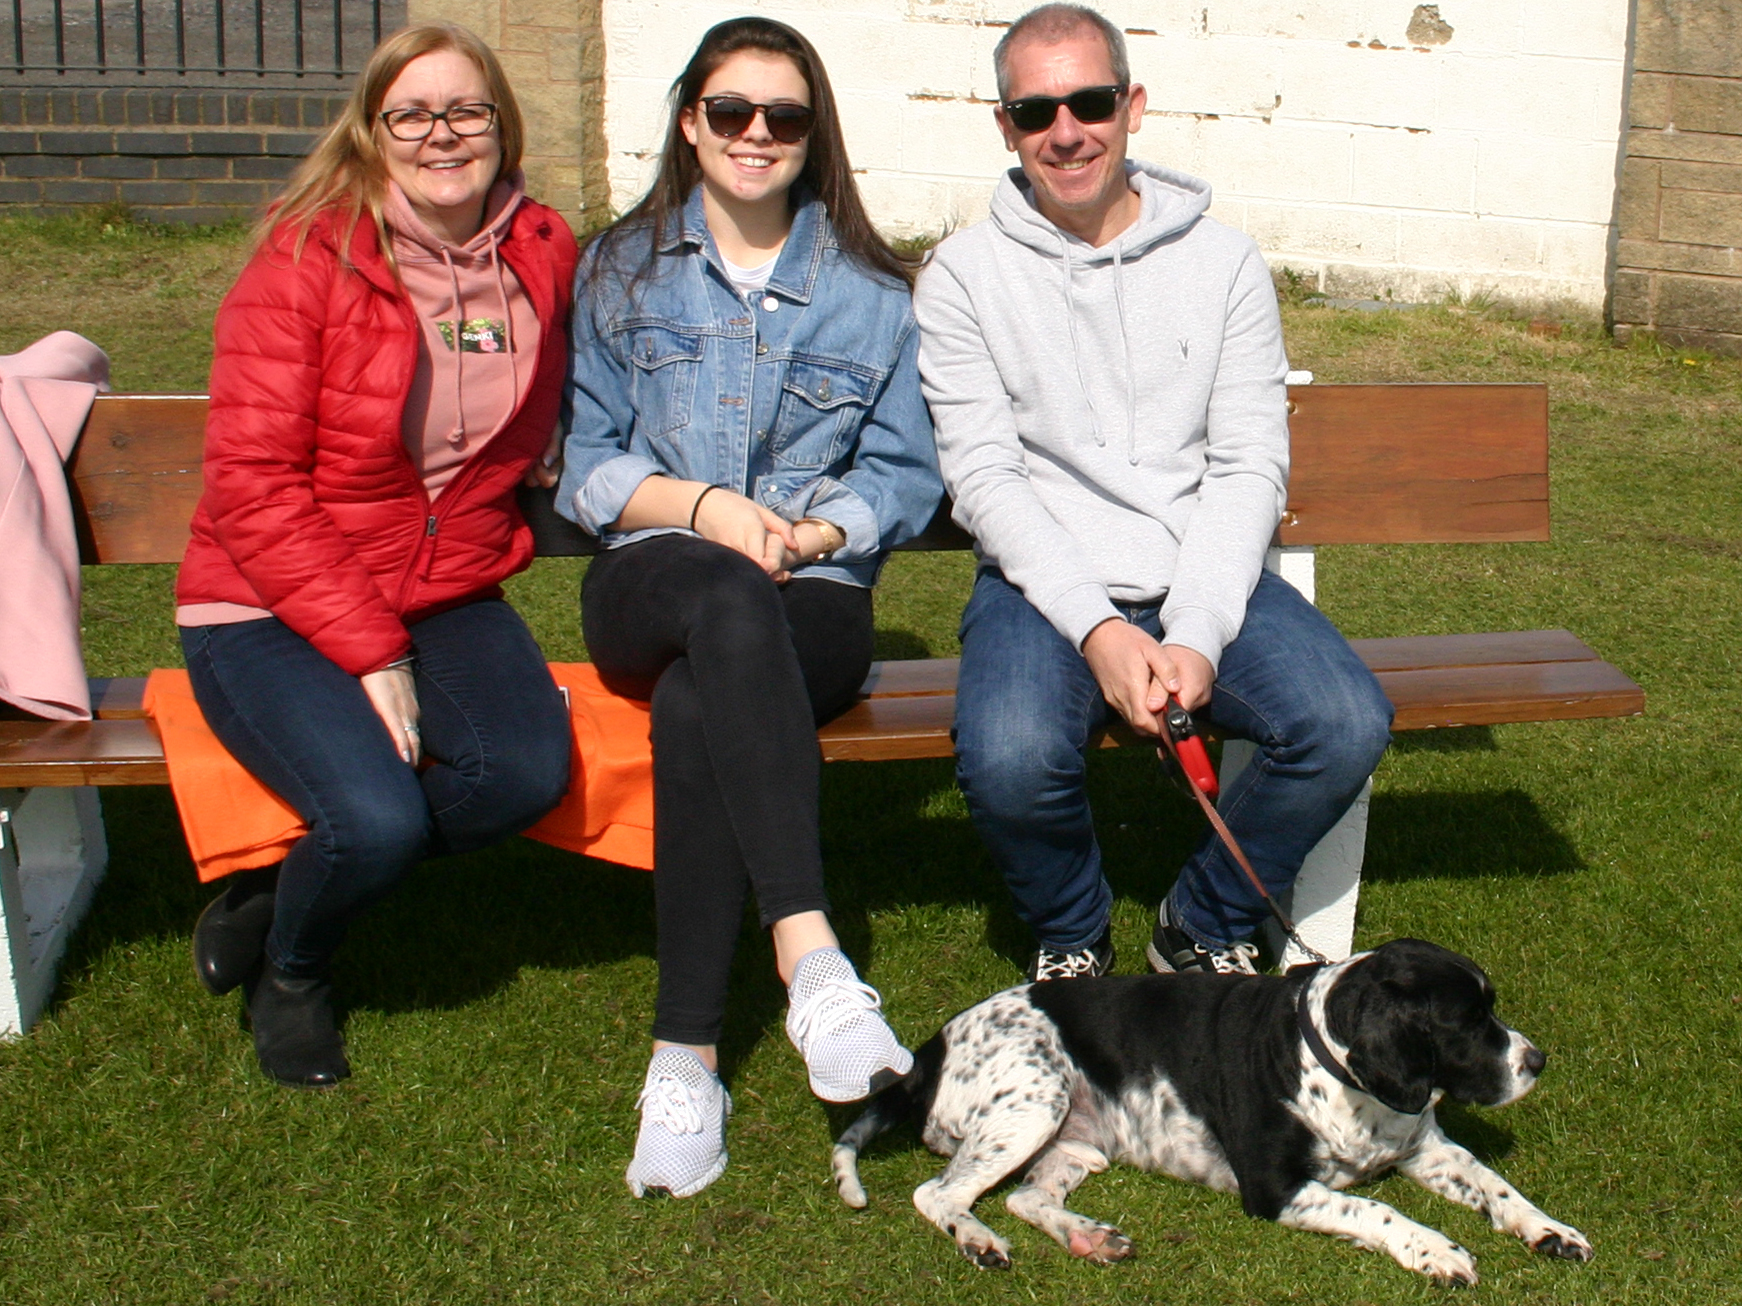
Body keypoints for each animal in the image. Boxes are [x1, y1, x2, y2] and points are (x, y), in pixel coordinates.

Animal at [829, 940, 1595, 1288]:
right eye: (1468, 1022)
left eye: (1491, 1009)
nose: (1538, 1060)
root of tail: (931, 1048)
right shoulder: (1276, 1188)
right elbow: (1377, 1210)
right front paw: (1435, 1248)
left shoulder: (1425, 1148)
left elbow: (1498, 1187)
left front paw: (1549, 1230)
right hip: (1033, 1103)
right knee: (939, 1194)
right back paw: (978, 1240)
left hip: (1075, 1141)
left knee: (1026, 1198)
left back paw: (1088, 1237)